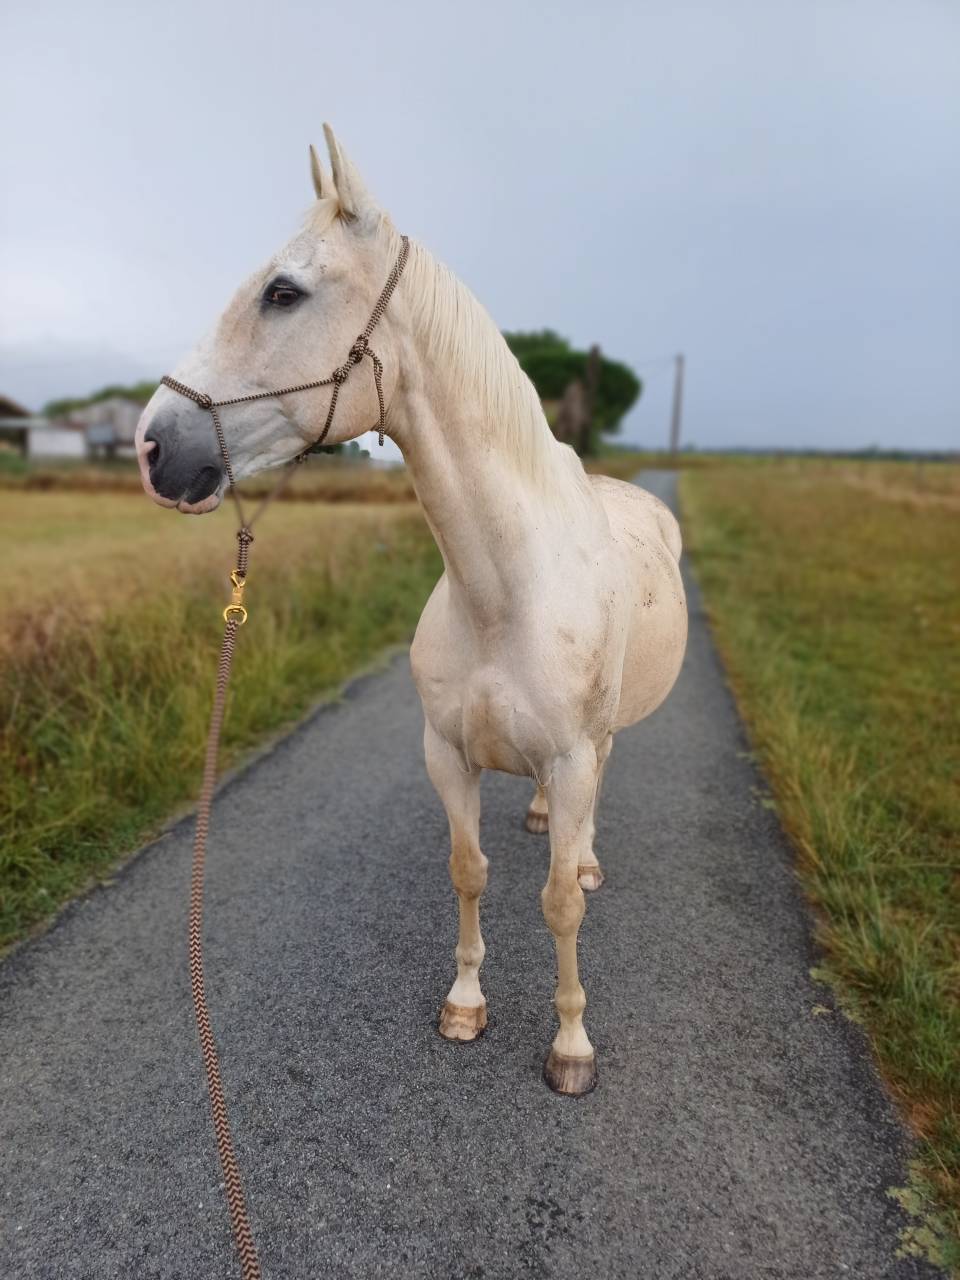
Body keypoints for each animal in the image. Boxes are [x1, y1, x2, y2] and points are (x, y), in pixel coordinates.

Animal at [135, 125, 688, 1096]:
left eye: (283, 291)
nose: (153, 446)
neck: (503, 592)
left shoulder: (573, 755)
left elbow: (554, 905)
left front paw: (571, 1043)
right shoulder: (447, 755)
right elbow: (469, 872)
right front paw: (465, 1005)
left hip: (599, 743)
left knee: (588, 814)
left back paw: (582, 856)